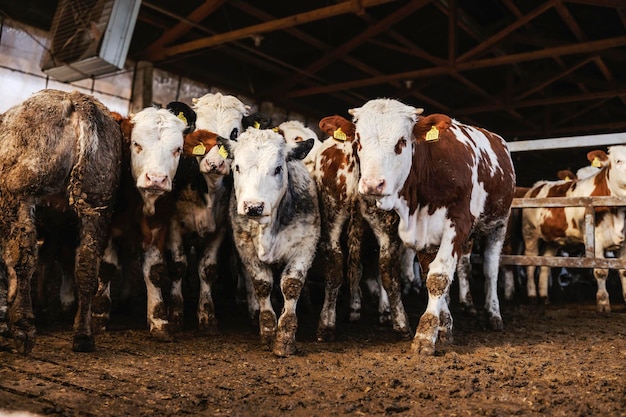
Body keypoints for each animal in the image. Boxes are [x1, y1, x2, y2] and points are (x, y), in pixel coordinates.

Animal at [0, 89, 121, 352]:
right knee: (86, 267)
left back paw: (23, 327)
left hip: (22, 195)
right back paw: (83, 336)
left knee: (25, 258)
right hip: (96, 208)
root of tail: (77, 99)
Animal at [227, 128, 320, 356]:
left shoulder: (306, 245)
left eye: (278, 168)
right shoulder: (244, 246)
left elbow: (291, 284)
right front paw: (268, 331)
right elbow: (262, 284)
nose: (253, 206)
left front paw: (285, 337)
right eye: (237, 166)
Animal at [348, 98, 516, 354]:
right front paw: (444, 327)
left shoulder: (459, 223)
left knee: (490, 268)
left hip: (499, 223)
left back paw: (493, 314)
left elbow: (439, 275)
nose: (373, 184)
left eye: (402, 141)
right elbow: (430, 274)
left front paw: (425, 335)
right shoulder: (421, 234)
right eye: (358, 142)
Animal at [520, 145, 624, 310]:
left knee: (546, 263)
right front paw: (603, 303)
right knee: (530, 263)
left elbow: (623, 271)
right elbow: (601, 271)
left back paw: (544, 296)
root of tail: (537, 185)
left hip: (553, 240)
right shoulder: (595, 242)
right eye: (618, 160)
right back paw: (532, 296)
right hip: (530, 234)